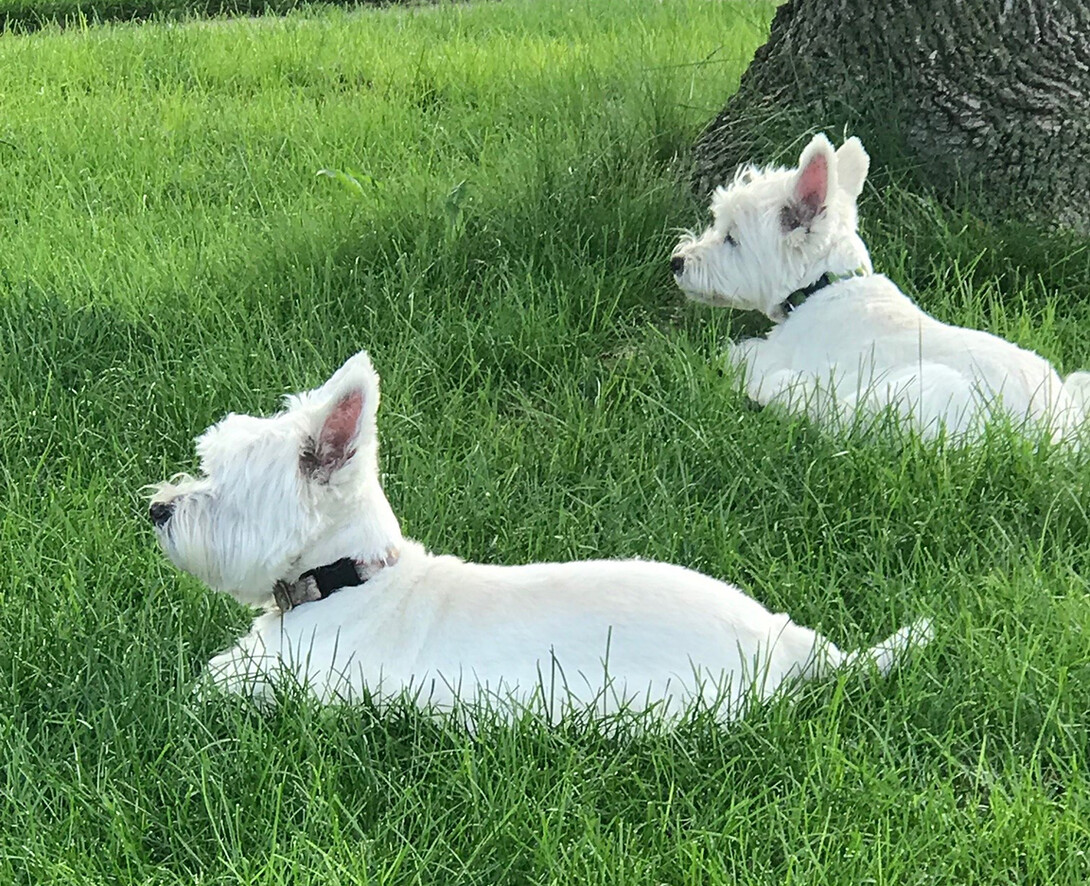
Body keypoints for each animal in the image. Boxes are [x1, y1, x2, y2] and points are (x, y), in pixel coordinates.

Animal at [144, 348, 928, 723]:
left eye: (220, 484)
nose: (157, 509)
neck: (348, 579)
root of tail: (789, 644)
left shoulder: (301, 689)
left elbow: (210, 689)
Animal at [671, 132, 1090, 442]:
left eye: (732, 238)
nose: (677, 261)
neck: (823, 287)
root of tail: (1059, 442)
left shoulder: (779, 355)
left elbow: (742, 354)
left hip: (913, 397)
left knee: (833, 418)